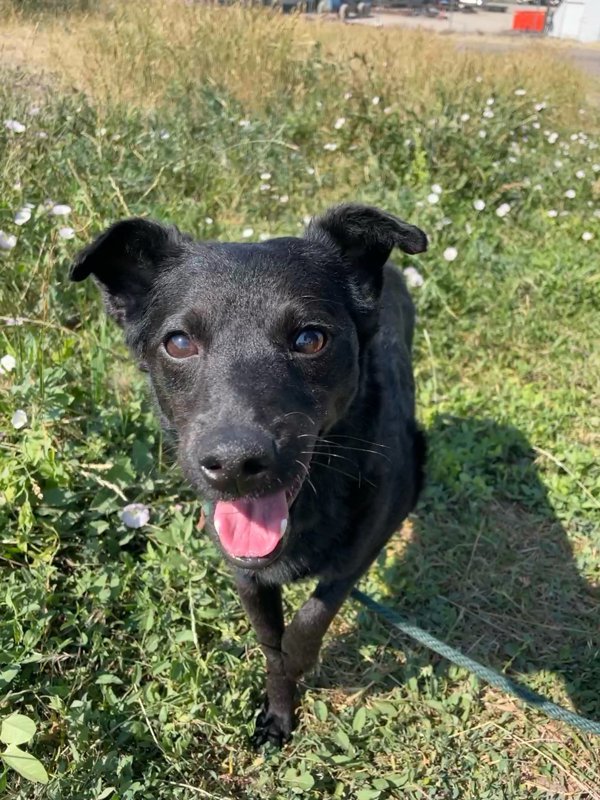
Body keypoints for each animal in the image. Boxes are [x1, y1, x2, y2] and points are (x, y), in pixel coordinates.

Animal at [71, 205, 426, 744]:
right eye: (178, 343)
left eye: (310, 338)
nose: (235, 464)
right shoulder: (245, 573)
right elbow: (269, 644)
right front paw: (280, 710)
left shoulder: (374, 530)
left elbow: (313, 614)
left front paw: (300, 659)